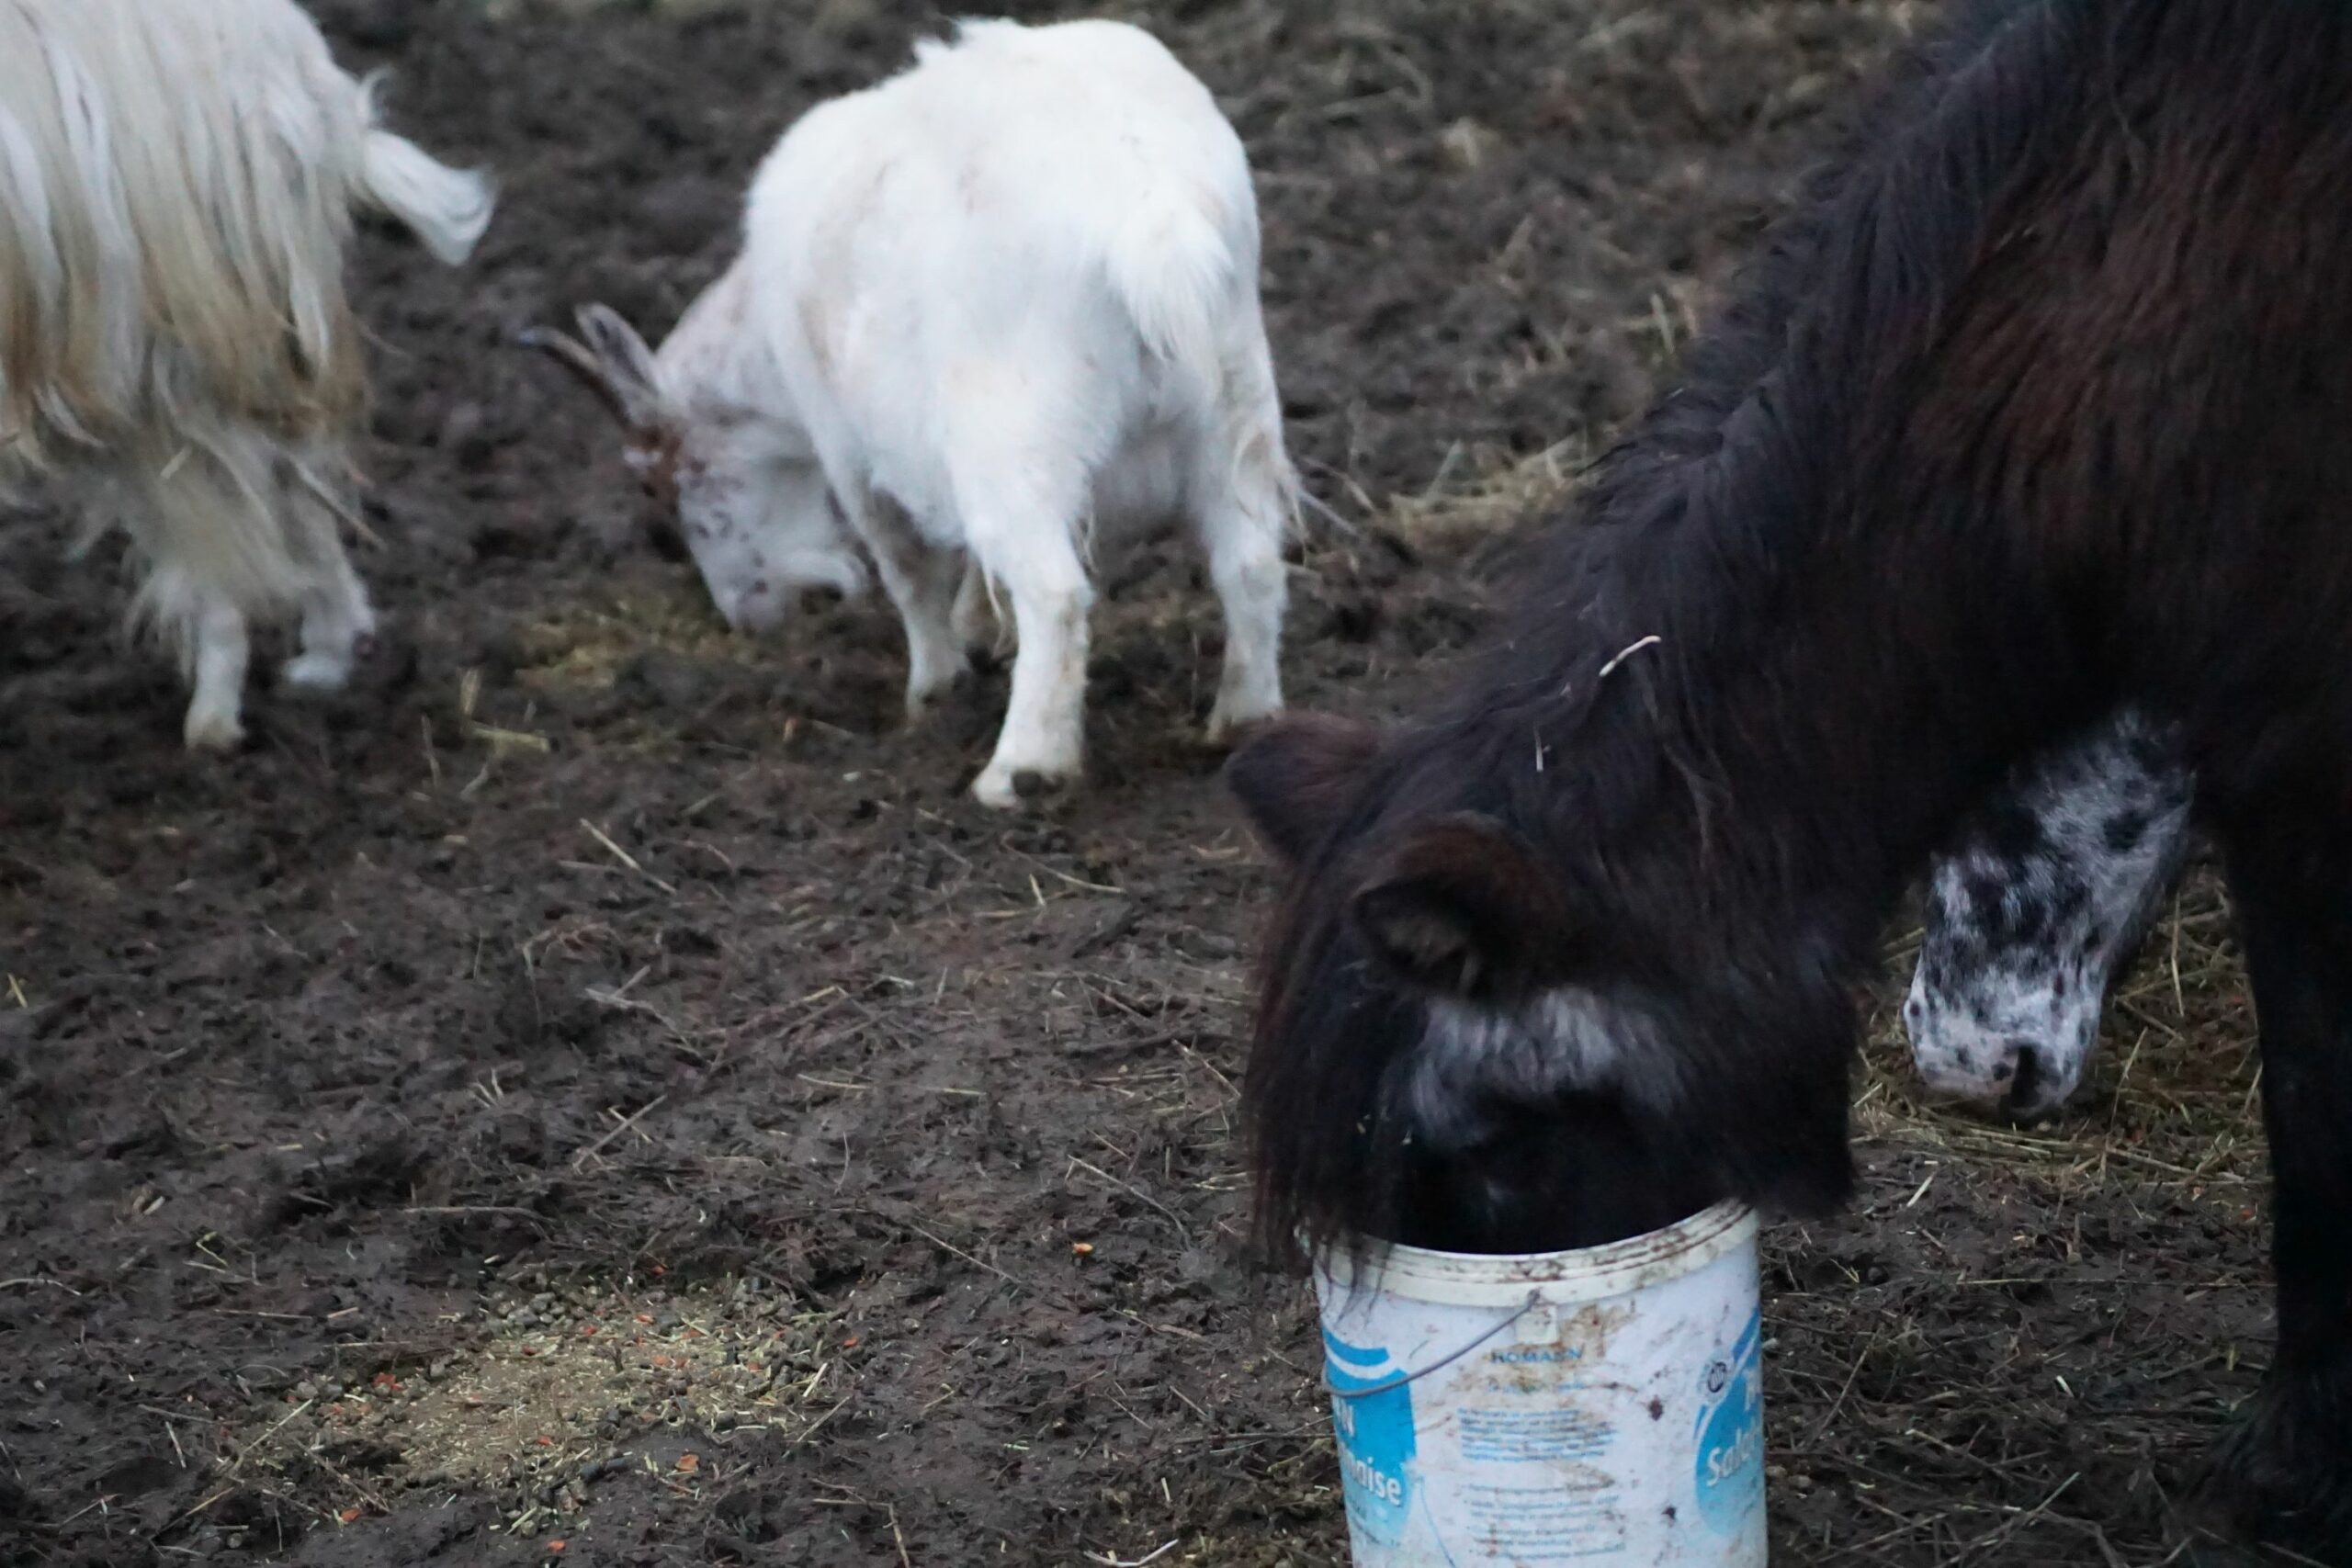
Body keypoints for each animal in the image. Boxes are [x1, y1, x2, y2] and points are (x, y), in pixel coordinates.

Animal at [0, 0, 493, 748]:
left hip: (199, 348)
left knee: (255, 507)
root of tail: (299, 56)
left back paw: (228, 714)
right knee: (289, 493)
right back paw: (324, 657)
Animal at [527, 18, 1293, 808]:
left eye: (657, 486)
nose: (748, 615)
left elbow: (905, 567)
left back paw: (1019, 772)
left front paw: (932, 689)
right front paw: (980, 630)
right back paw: (1242, 719)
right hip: (1235, 411)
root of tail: (1150, 215)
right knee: (1251, 562)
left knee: (1054, 593)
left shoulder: (845, 448)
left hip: (1011, 440)